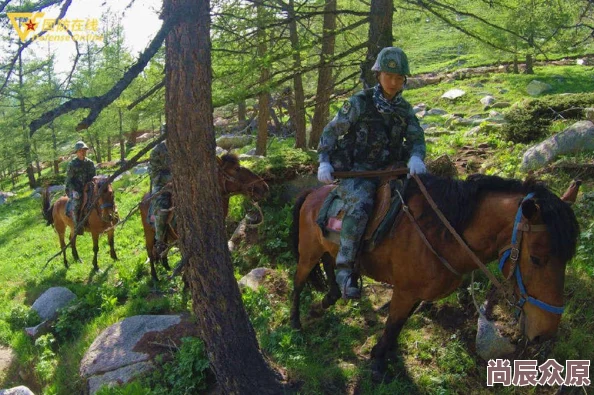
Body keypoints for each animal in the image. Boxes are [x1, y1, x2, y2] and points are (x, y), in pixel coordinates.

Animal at [139, 153, 268, 284]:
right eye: (236, 169)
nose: (264, 186)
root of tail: (143, 199)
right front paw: (186, 280)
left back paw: (166, 266)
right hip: (148, 232)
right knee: (150, 252)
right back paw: (155, 277)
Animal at [292, 175, 580, 378]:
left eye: (567, 259)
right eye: (537, 258)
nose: (545, 333)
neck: (442, 233)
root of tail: (313, 193)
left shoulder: (416, 294)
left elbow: (399, 324)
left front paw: (386, 353)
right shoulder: (405, 291)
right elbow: (394, 323)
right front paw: (378, 364)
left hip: (327, 248)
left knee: (330, 265)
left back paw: (327, 299)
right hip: (308, 252)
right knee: (298, 282)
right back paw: (296, 323)